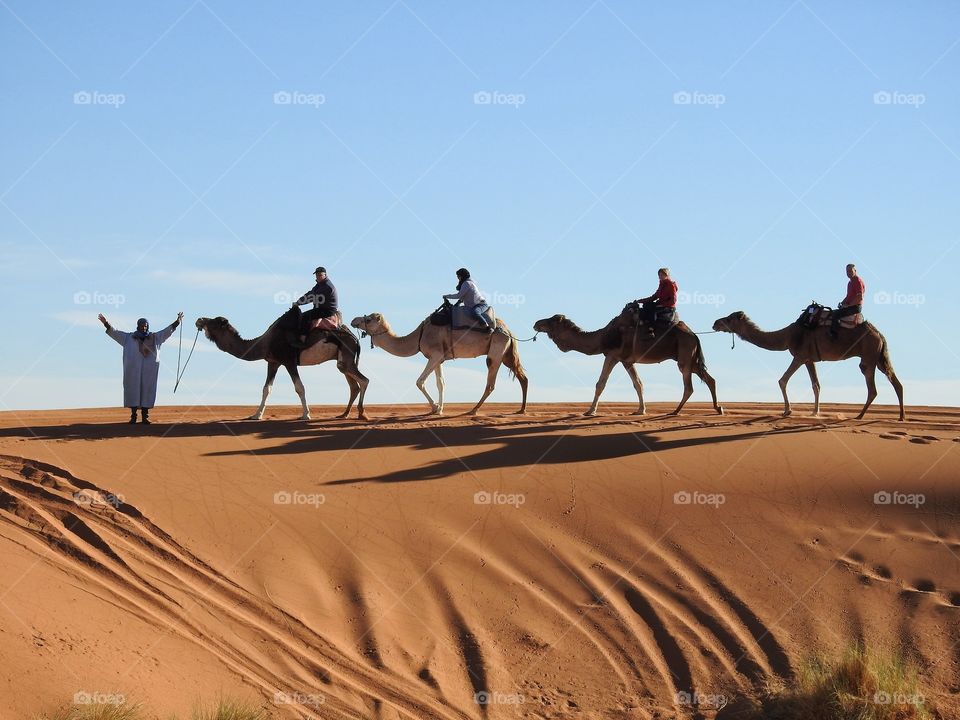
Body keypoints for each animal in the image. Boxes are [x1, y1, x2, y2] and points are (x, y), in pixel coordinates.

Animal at [195, 306, 368, 420]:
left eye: (215, 322)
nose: (199, 320)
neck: (266, 342)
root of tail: (355, 338)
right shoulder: (273, 362)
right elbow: (266, 389)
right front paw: (256, 415)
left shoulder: (289, 361)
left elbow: (299, 388)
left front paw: (306, 415)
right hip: (342, 359)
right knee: (353, 385)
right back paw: (344, 414)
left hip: (347, 356)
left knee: (364, 380)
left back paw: (361, 413)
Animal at [350, 310, 528, 416]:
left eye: (368, 319)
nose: (354, 320)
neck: (419, 336)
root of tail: (508, 330)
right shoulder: (439, 358)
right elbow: (441, 383)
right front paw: (440, 409)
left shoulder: (434, 355)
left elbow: (420, 381)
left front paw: (435, 407)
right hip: (507, 355)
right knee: (523, 378)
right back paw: (521, 409)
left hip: (495, 353)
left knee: (490, 384)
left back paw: (474, 410)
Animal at [532, 304, 720, 416]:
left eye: (552, 320)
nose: (536, 323)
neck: (603, 337)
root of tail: (694, 335)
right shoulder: (627, 361)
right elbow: (638, 383)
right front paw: (640, 410)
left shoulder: (612, 355)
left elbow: (600, 384)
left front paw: (590, 411)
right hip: (690, 358)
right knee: (709, 379)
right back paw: (718, 408)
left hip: (684, 356)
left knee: (689, 386)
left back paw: (675, 411)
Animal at [712, 310, 908, 422]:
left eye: (729, 319)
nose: (714, 323)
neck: (786, 336)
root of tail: (879, 334)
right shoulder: (810, 359)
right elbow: (816, 385)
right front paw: (815, 413)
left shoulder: (799, 356)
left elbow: (782, 380)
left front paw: (787, 411)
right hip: (879, 357)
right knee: (895, 381)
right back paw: (901, 416)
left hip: (868, 356)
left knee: (872, 387)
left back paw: (859, 416)